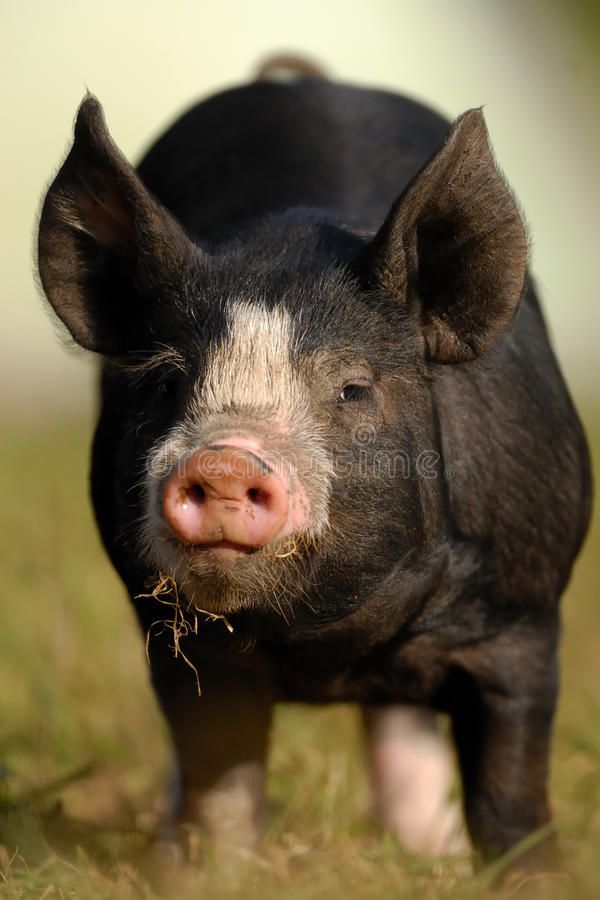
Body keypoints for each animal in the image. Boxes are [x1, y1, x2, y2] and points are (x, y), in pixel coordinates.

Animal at [36, 67, 592, 868]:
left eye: (354, 388)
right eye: (169, 381)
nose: (225, 458)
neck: (326, 648)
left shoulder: (522, 616)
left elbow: (510, 794)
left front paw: (529, 876)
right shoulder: (180, 644)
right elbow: (222, 787)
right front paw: (207, 873)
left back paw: (431, 851)